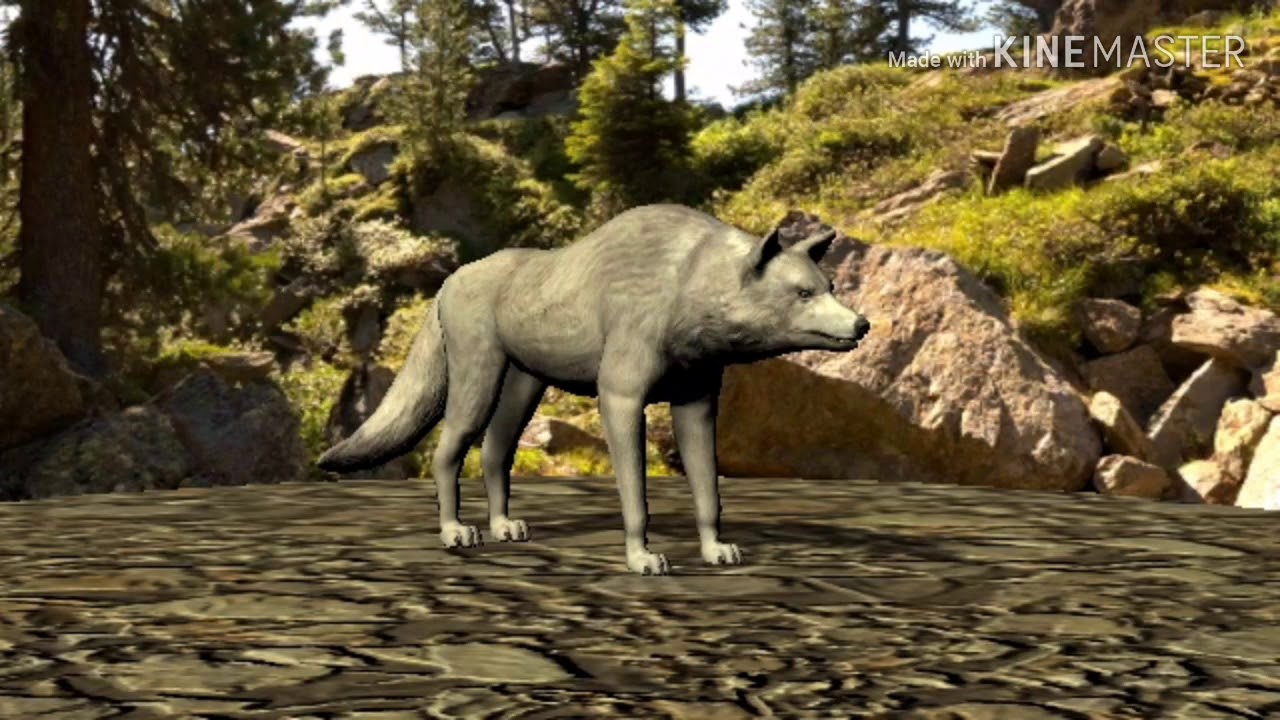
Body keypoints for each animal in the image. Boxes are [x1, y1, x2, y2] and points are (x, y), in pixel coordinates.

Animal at [318, 204, 870, 575]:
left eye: (831, 287)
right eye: (803, 293)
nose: (862, 324)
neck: (688, 287)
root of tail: (449, 279)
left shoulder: (696, 404)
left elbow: (708, 495)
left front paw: (715, 549)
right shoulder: (620, 399)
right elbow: (636, 501)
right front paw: (641, 556)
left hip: (523, 388)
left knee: (495, 452)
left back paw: (503, 526)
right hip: (478, 381)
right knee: (447, 453)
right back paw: (455, 531)